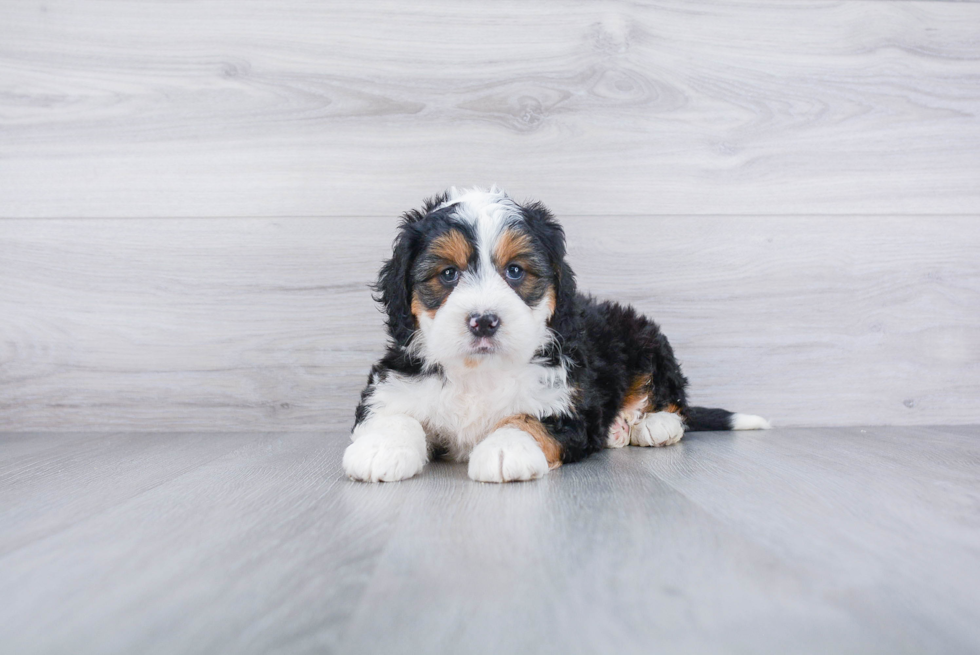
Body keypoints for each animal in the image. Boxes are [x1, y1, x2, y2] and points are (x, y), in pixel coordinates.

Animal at [340, 187, 768, 484]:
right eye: (448, 274)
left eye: (515, 271)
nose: (484, 321)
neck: (481, 371)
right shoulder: (395, 381)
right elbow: (392, 413)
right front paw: (380, 448)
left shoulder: (567, 404)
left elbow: (528, 419)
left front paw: (505, 449)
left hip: (645, 339)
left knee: (674, 399)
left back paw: (652, 424)